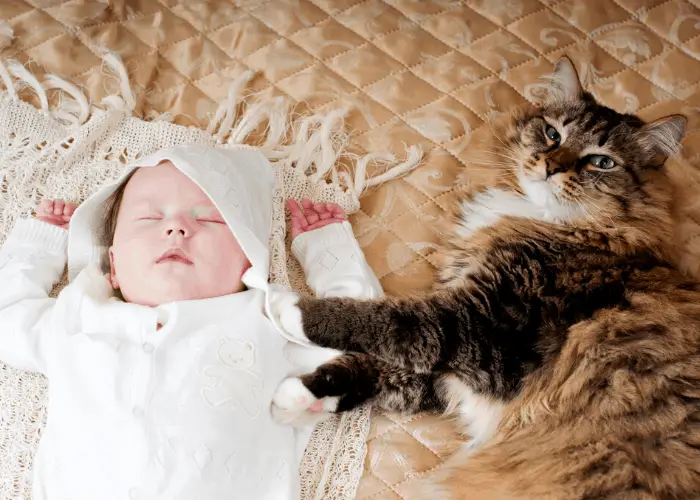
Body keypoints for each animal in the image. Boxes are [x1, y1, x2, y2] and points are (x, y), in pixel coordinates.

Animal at [270, 59, 700, 500]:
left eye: (601, 161)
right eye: (553, 134)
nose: (551, 166)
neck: (540, 218)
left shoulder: (480, 329)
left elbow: (381, 320)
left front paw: (289, 308)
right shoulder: (452, 370)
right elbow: (378, 367)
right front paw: (303, 395)